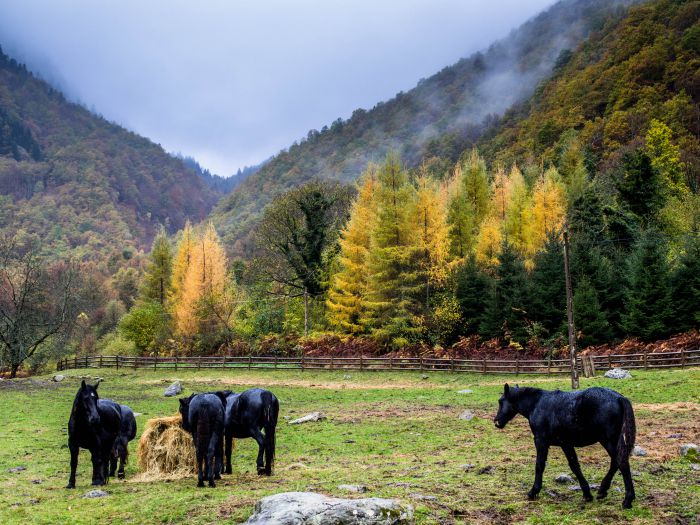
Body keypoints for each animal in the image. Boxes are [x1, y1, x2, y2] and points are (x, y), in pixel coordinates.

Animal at [494, 380, 636, 508]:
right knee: (616, 463)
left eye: (500, 401)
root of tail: (619, 398)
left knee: (621, 463)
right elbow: (575, 466)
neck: (537, 404)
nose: (496, 421)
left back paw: (627, 500)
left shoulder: (541, 441)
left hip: (608, 440)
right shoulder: (566, 444)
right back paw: (602, 491)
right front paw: (587, 494)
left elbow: (539, 465)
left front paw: (533, 491)